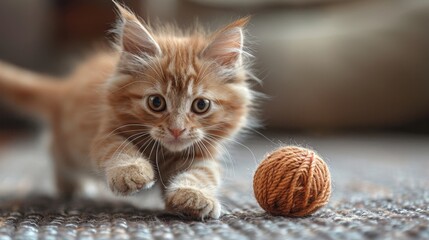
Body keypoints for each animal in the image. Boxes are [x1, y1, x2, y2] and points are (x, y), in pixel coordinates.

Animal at [0, 3, 256, 219]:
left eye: (200, 105)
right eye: (156, 102)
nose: (176, 130)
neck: (164, 152)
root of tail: (66, 86)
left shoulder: (202, 155)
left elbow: (201, 174)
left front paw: (194, 196)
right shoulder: (106, 133)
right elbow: (120, 149)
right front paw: (131, 172)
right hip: (71, 148)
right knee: (53, 148)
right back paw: (72, 186)